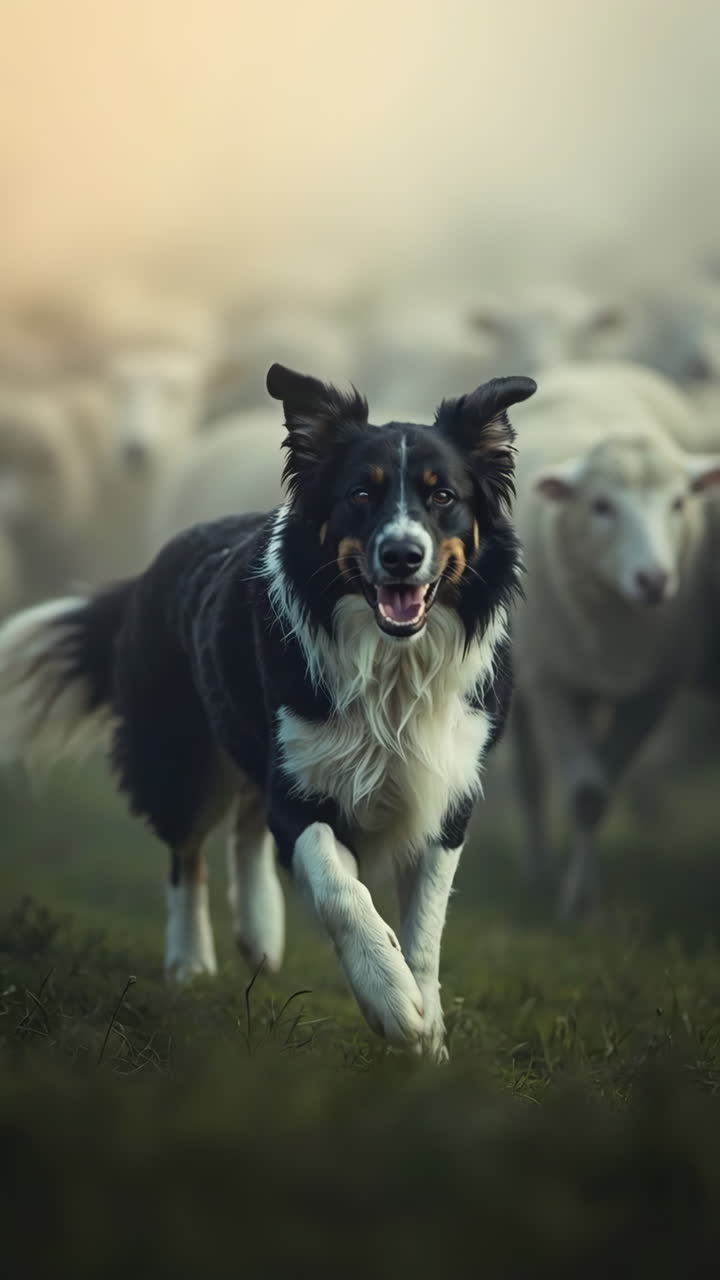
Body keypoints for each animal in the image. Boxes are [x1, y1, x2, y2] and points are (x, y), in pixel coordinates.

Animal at [507, 361, 720, 917]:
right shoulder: (549, 682)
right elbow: (584, 794)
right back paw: (534, 867)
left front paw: (584, 899)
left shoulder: (653, 690)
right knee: (529, 780)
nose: (654, 580)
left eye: (678, 503)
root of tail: (591, 367)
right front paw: (576, 904)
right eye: (600, 506)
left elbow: (598, 794)